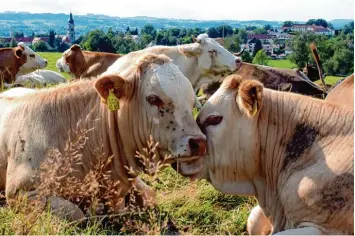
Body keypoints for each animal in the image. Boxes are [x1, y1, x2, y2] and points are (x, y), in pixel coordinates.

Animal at [0, 53, 209, 219]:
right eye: (153, 99)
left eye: (192, 101)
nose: (199, 142)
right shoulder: (21, 192)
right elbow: (76, 214)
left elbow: (150, 195)